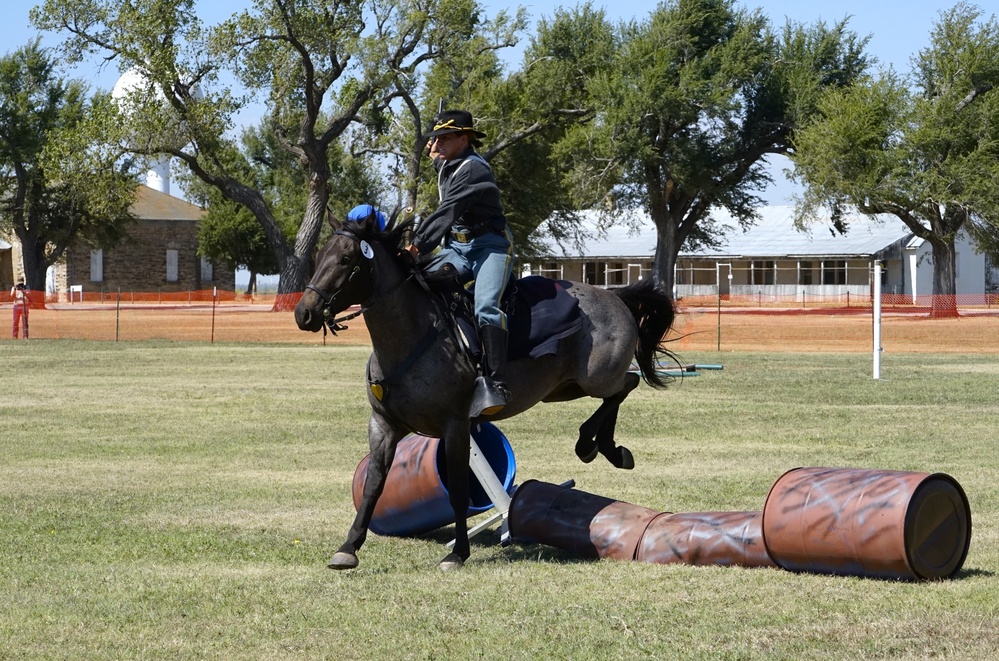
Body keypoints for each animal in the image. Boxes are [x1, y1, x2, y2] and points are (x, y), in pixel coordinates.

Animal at [292, 214, 680, 568]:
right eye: (319, 256)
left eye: (346, 260)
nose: (304, 313)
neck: (409, 339)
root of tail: (614, 296)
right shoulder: (383, 426)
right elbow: (373, 486)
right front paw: (348, 548)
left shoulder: (455, 426)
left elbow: (459, 493)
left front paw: (458, 553)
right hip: (563, 388)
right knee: (616, 393)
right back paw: (599, 446)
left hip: (597, 377)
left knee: (626, 385)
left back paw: (600, 447)